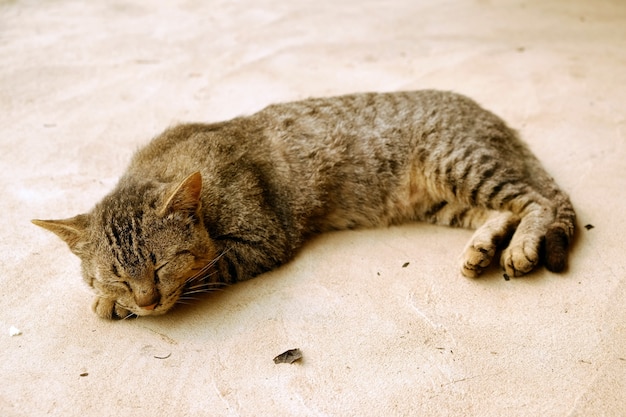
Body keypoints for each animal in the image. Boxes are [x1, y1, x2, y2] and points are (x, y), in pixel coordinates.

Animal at [31, 90, 572, 318]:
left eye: (162, 265)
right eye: (118, 275)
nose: (144, 300)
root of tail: (490, 114)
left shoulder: (263, 240)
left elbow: (210, 267)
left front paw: (116, 305)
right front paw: (110, 300)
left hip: (457, 162)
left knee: (537, 201)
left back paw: (521, 248)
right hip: (443, 199)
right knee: (505, 209)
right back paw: (483, 248)